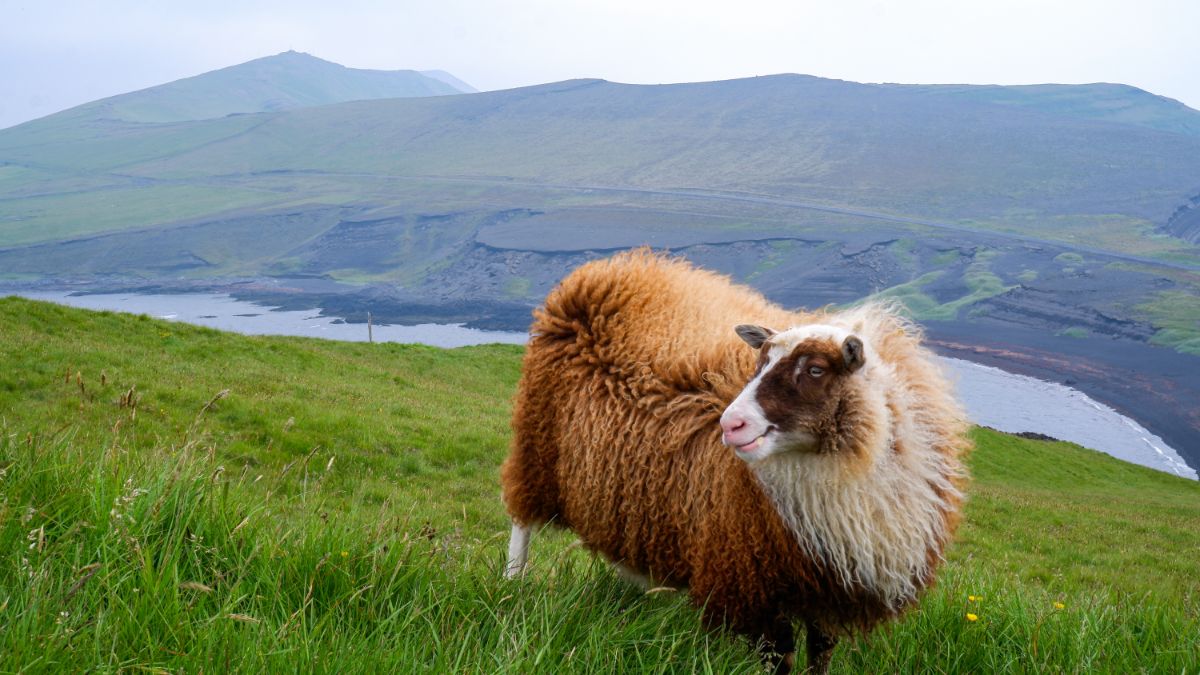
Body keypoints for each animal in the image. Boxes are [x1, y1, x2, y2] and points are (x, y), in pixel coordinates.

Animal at [501, 249, 969, 667]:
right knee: (521, 520)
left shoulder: (829, 588)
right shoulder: (752, 581)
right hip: (537, 441)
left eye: (816, 370)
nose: (730, 423)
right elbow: (779, 659)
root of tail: (606, 270)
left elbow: (820, 654)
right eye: (758, 363)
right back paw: (512, 584)